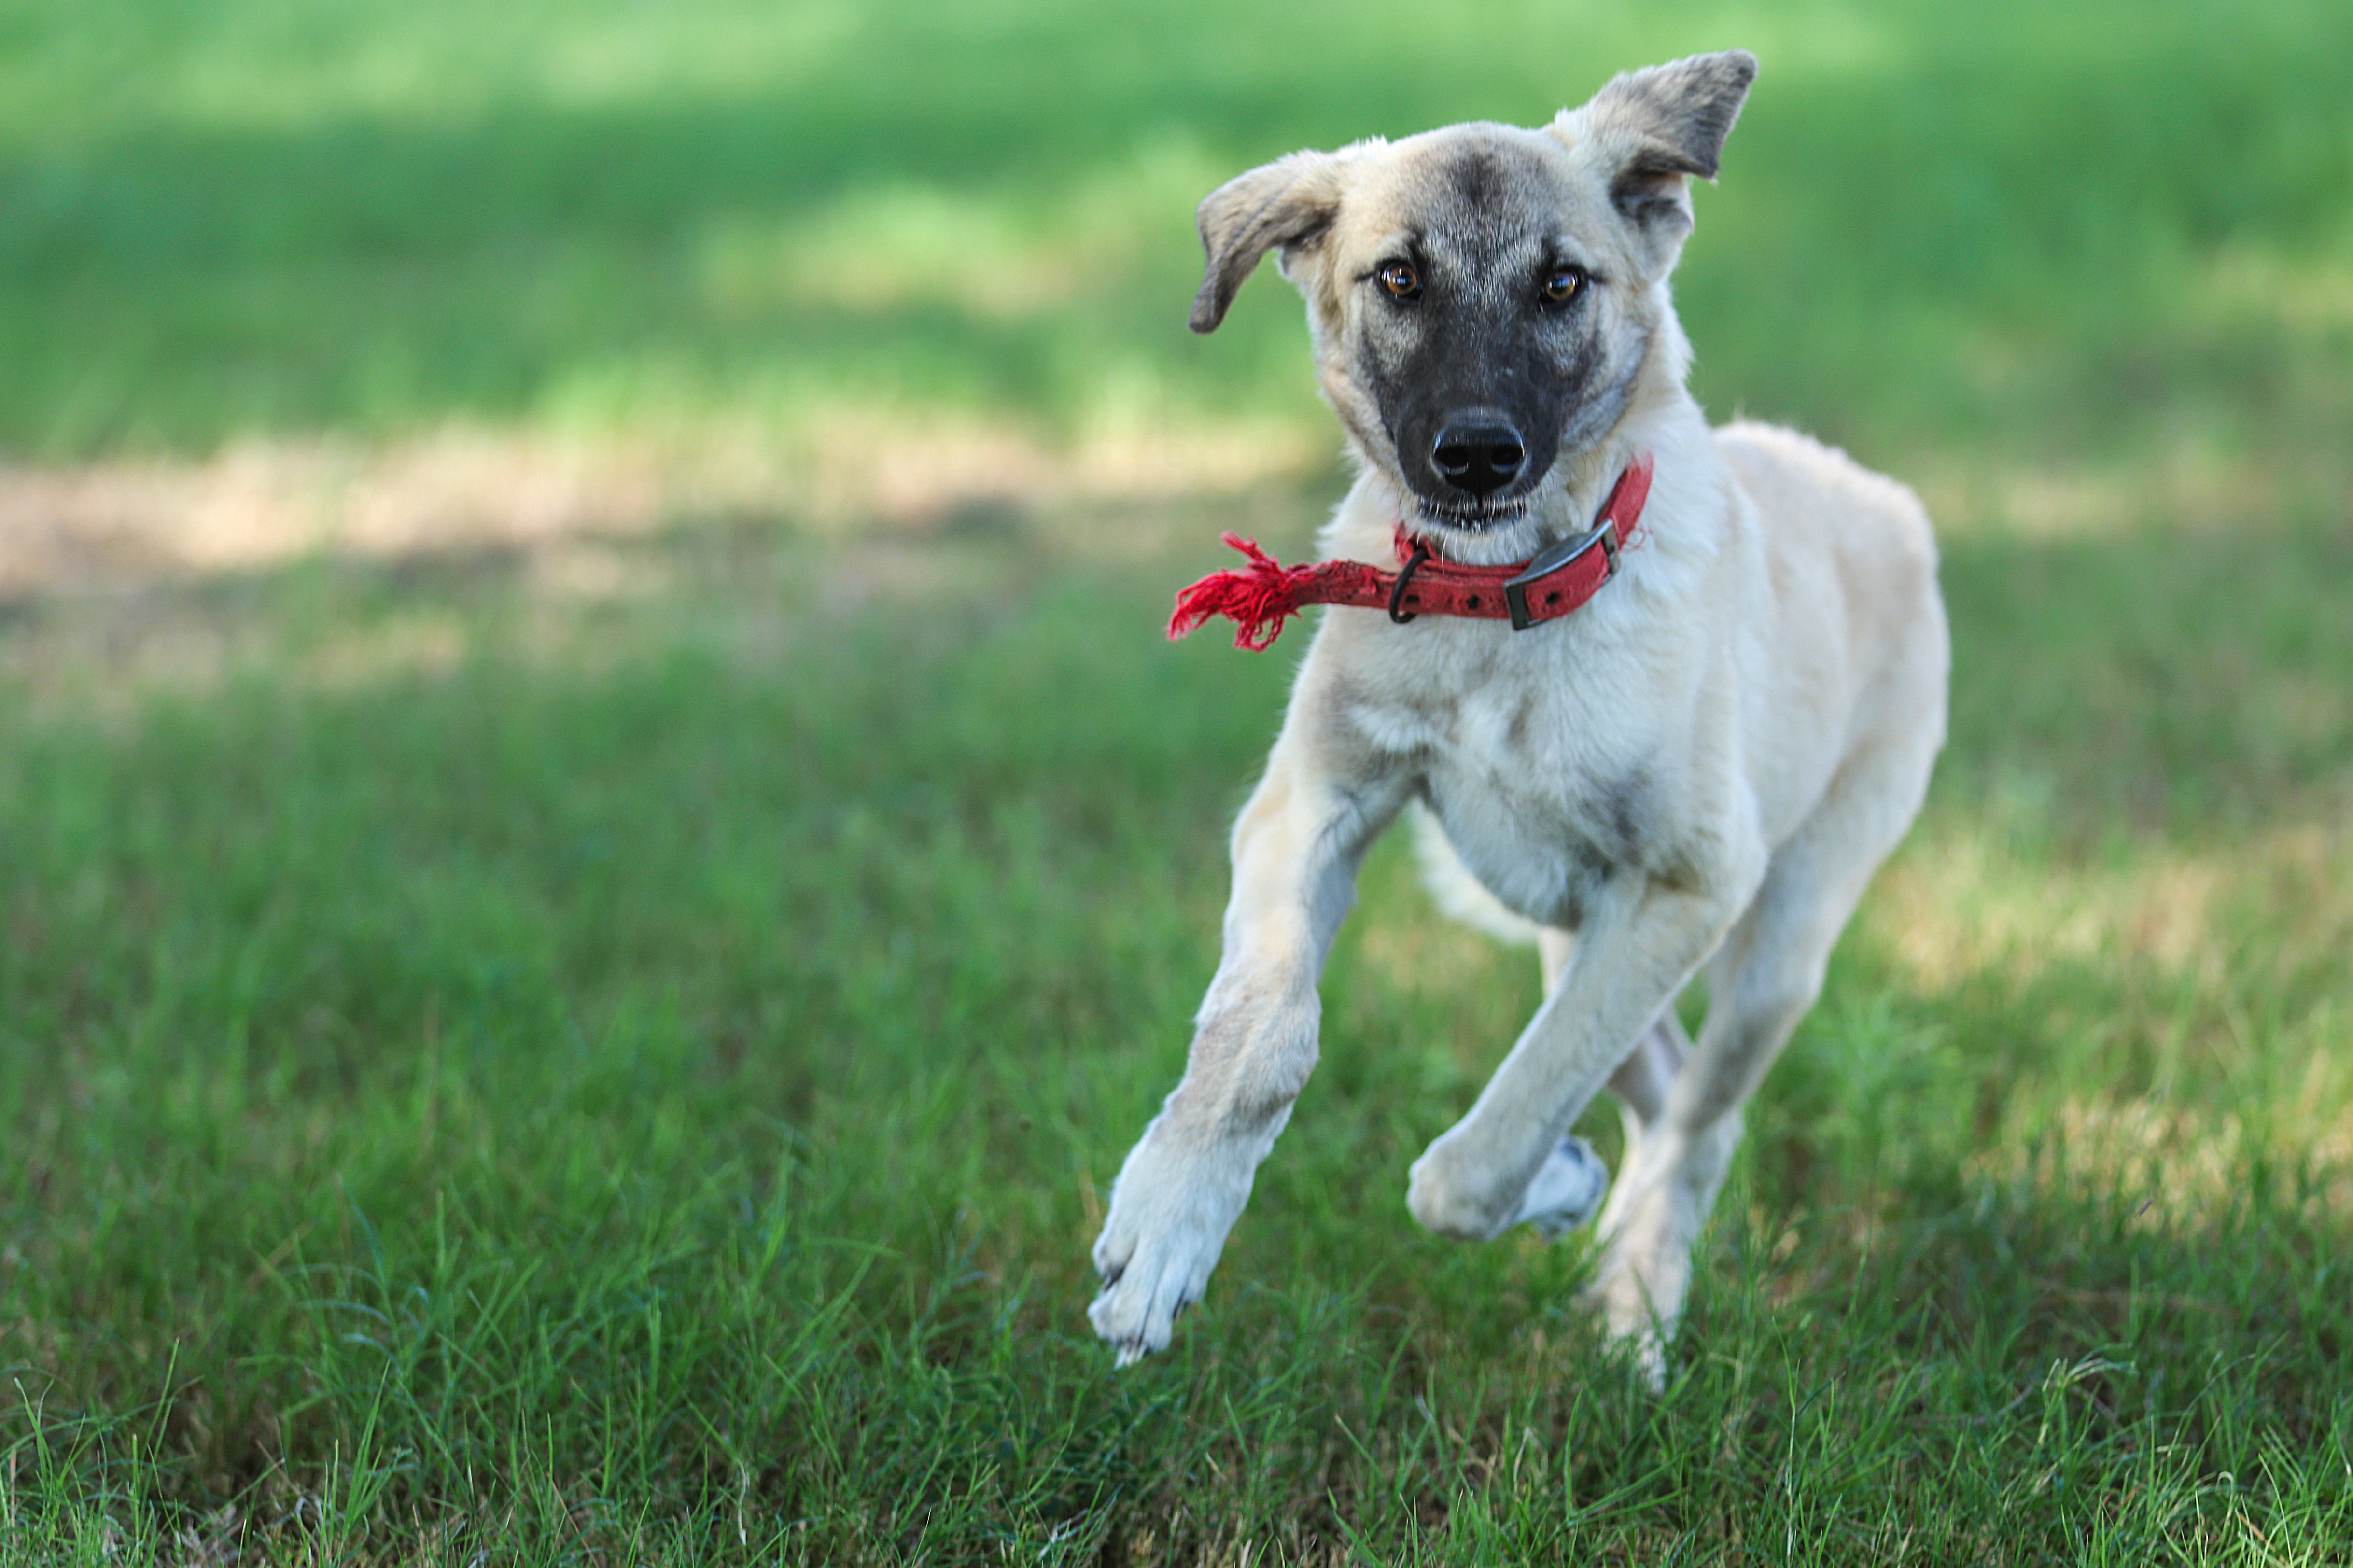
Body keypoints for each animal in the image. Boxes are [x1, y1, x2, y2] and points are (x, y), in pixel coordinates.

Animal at [1082, 46, 1948, 1365]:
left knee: (1698, 1121)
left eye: (1560, 284)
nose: (1477, 455)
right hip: (1570, 929)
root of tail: (1880, 497)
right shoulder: (1310, 804)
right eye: (1397, 277)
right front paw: (1167, 1224)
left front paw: (1545, 1195)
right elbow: (1263, 1029)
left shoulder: (1691, 883)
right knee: (1654, 1087)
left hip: (1773, 936)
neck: (1495, 612)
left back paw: (1638, 1293)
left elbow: (1486, 1147)